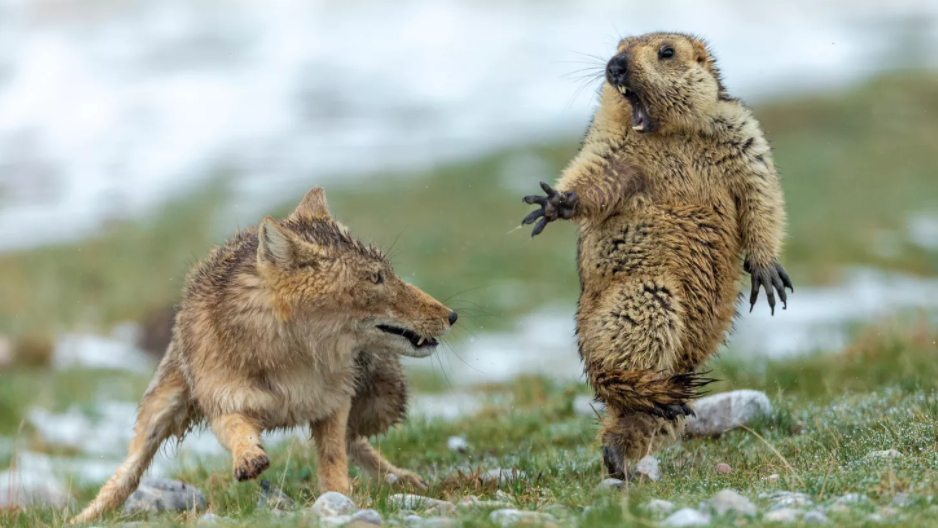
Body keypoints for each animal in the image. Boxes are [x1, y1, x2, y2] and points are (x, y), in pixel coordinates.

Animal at [72, 187, 457, 524]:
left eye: (387, 274)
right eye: (375, 278)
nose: (452, 315)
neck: (291, 360)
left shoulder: (333, 403)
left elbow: (334, 458)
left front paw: (342, 499)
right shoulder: (225, 403)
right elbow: (237, 431)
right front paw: (248, 458)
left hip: (383, 402)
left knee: (356, 440)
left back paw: (402, 478)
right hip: (159, 411)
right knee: (126, 475)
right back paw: (83, 517)